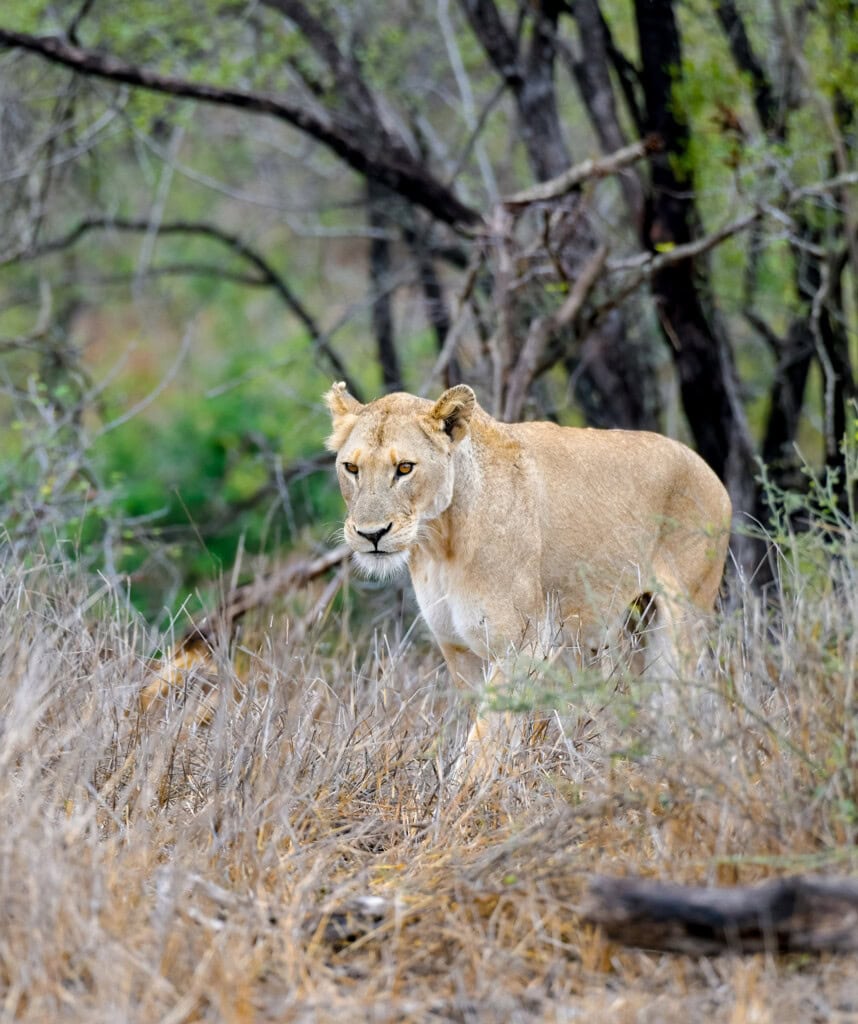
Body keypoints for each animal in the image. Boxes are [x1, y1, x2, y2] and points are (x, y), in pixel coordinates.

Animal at [325, 382, 732, 767]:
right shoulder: (457, 648)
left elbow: (482, 744)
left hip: (681, 622)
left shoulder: (522, 645)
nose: (372, 534)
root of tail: (708, 469)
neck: (440, 542)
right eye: (352, 468)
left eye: (405, 468)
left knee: (677, 708)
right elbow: (489, 731)